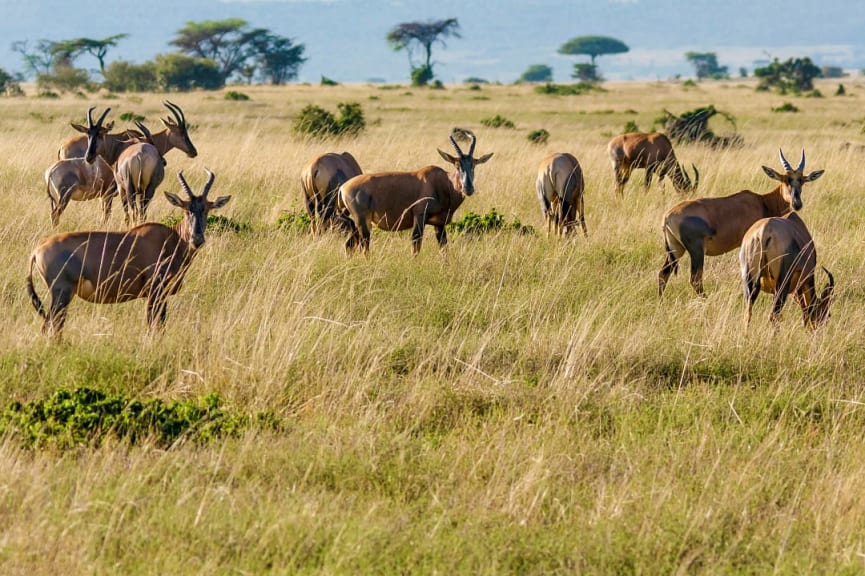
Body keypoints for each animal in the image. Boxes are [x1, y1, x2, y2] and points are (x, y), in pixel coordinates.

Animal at [26, 169, 230, 338]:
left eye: (206, 209)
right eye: (186, 209)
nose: (197, 239)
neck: (171, 239)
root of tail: (37, 250)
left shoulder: (162, 295)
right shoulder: (155, 292)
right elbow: (154, 326)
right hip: (61, 293)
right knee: (50, 326)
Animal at [336, 130, 490, 256]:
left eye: (473, 165)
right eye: (457, 165)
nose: (468, 189)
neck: (440, 182)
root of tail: (343, 187)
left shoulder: (439, 224)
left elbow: (444, 250)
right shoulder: (419, 217)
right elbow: (416, 246)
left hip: (357, 225)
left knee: (349, 245)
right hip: (362, 222)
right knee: (364, 248)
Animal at [656, 146, 824, 300]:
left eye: (802, 181)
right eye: (785, 180)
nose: (797, 204)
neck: (762, 201)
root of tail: (667, 216)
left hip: (675, 249)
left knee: (663, 273)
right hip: (696, 251)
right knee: (695, 279)